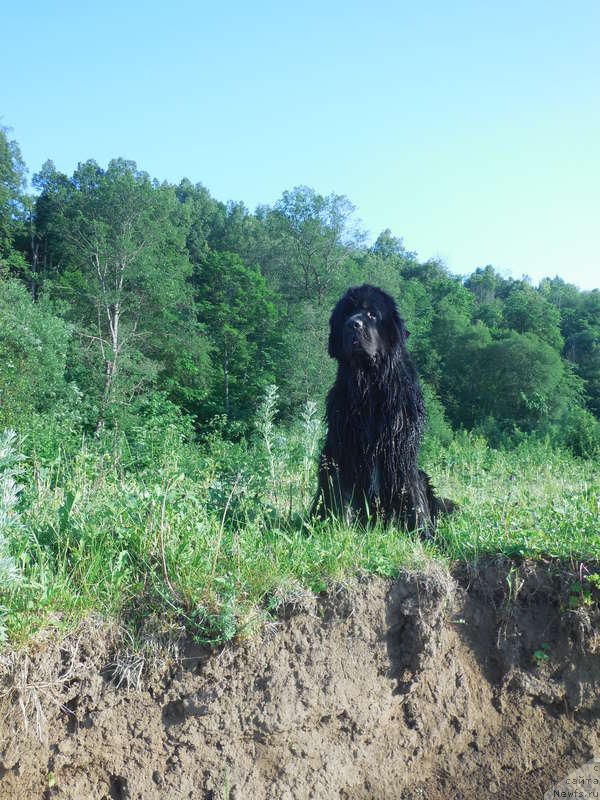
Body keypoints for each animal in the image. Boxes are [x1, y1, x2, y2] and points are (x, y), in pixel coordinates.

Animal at [312, 284, 452, 536]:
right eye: (346, 314)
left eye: (371, 314)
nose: (353, 325)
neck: (369, 385)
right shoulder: (343, 448)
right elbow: (342, 497)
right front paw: (339, 530)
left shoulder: (400, 449)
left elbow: (413, 499)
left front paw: (425, 535)